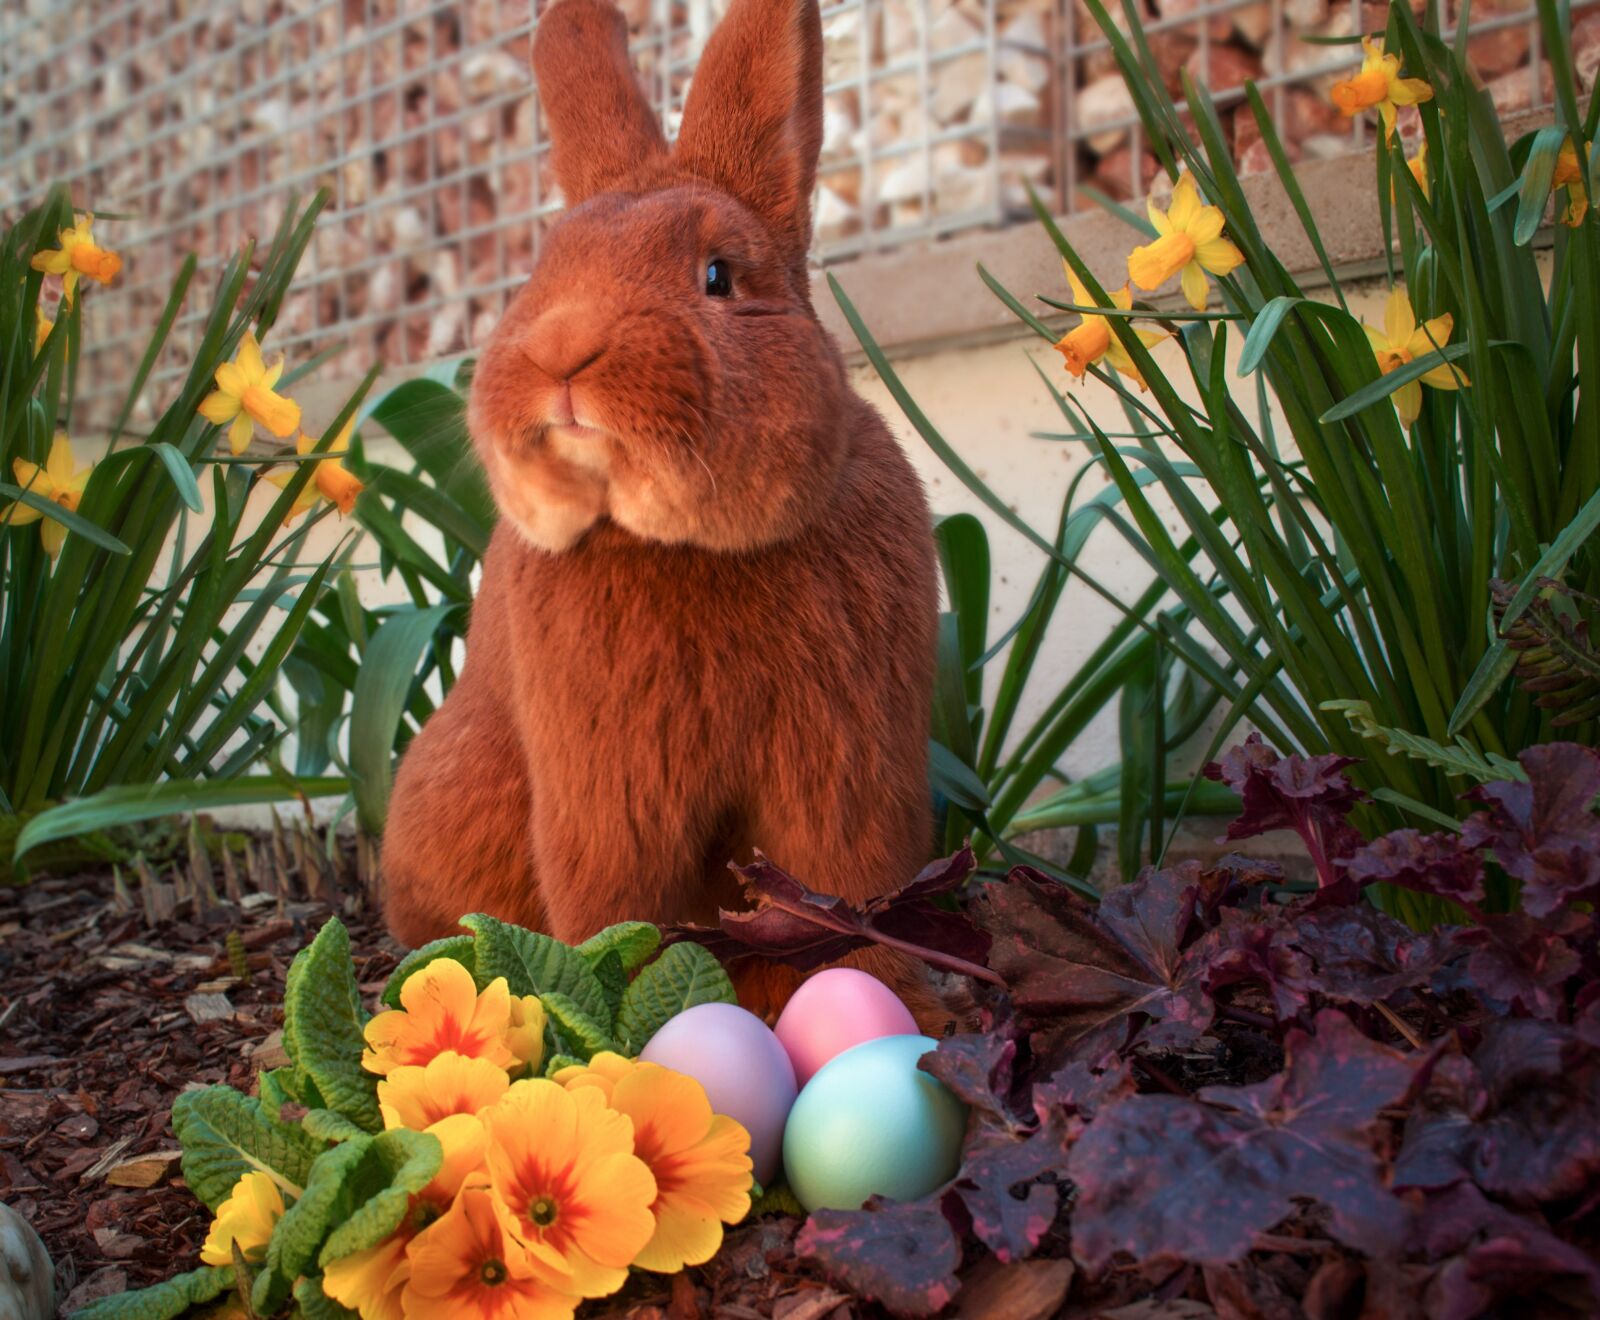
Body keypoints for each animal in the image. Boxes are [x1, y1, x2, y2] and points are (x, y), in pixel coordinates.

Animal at [380, 0, 944, 1029]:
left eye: (718, 276)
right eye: (543, 270)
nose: (561, 350)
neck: (684, 543)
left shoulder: (844, 770)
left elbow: (847, 888)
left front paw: (890, 1001)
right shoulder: (611, 795)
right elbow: (621, 907)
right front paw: (627, 1021)